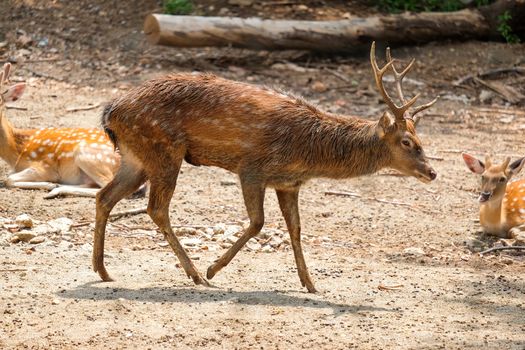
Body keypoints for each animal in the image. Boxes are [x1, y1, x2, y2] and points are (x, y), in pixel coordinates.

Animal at [0, 62, 121, 198]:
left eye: (0, 100)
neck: (16, 152)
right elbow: (9, 176)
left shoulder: (44, 167)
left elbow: (8, 179)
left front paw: (49, 184)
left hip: (87, 154)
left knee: (107, 188)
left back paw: (55, 189)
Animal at [93, 41, 438, 292]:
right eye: (407, 142)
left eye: (419, 137)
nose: (432, 172)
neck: (310, 152)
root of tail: (110, 111)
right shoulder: (252, 169)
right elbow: (258, 222)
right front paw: (214, 268)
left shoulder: (288, 183)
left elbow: (296, 229)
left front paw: (311, 284)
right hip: (164, 150)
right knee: (156, 207)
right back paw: (196, 274)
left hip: (136, 157)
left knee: (104, 196)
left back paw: (103, 270)